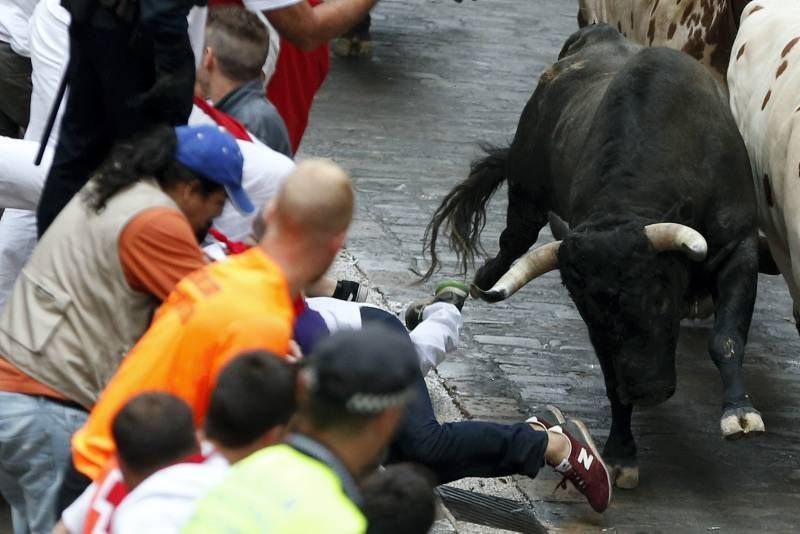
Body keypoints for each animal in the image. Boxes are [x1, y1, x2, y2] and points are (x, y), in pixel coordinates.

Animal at [418, 27, 764, 492]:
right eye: (589, 307)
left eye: (660, 297)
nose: (647, 391)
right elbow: (611, 377)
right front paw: (621, 454)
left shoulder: (738, 249)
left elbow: (726, 338)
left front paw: (740, 413)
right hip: (526, 198)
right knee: (511, 242)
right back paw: (482, 278)